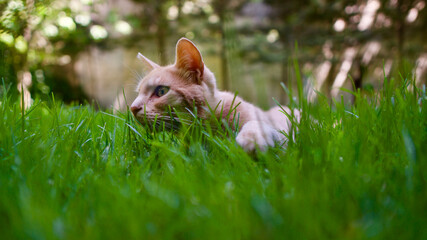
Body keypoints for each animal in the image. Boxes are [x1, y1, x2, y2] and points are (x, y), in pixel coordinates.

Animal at [130, 37, 300, 151]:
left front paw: (252, 139)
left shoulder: (283, 137)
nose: (132, 108)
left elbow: (257, 125)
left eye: (161, 91)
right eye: (139, 93)